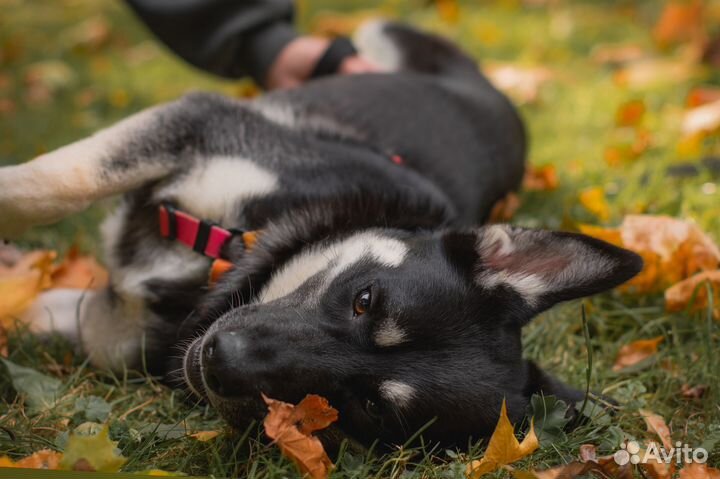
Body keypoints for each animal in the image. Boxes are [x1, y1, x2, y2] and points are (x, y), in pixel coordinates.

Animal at [0, 22, 640, 448]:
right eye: (366, 300)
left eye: (368, 407)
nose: (220, 361)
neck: (230, 254)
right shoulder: (197, 124)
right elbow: (45, 186)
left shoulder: (99, 325)